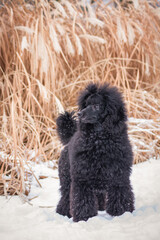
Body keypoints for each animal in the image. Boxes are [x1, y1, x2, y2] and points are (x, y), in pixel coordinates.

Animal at [55, 82, 134, 221]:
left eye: (96, 106)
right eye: (86, 105)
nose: (80, 114)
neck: (100, 141)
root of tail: (69, 139)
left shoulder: (119, 177)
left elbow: (121, 196)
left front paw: (122, 213)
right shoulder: (82, 179)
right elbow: (82, 201)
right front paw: (84, 217)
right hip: (67, 178)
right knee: (65, 196)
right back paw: (63, 212)